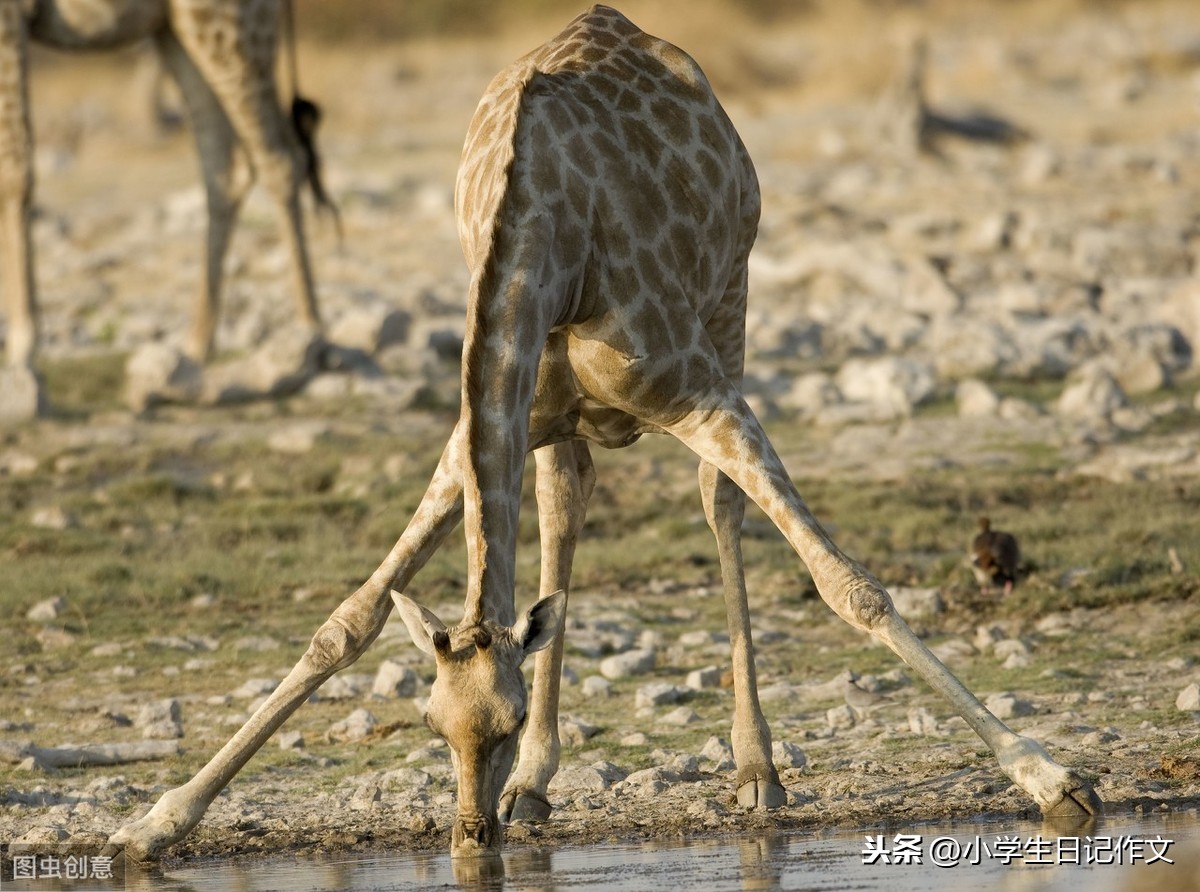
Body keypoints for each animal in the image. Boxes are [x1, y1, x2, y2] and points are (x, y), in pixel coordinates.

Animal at [0, 0, 328, 374]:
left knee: (281, 160)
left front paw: (23, 350)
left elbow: (14, 170)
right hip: (175, 31)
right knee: (228, 167)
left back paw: (310, 333)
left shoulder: (10, 15)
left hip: (231, 24)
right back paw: (196, 346)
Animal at [108, 5, 1099, 864]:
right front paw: (155, 823)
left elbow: (847, 584)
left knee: (719, 506)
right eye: (431, 724)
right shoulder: (487, 421)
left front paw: (1054, 780)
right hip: (565, 421)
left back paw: (755, 770)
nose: (470, 838)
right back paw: (538, 788)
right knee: (566, 508)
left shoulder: (697, 389)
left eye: (502, 721)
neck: (551, 246)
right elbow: (346, 622)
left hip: (732, 307)